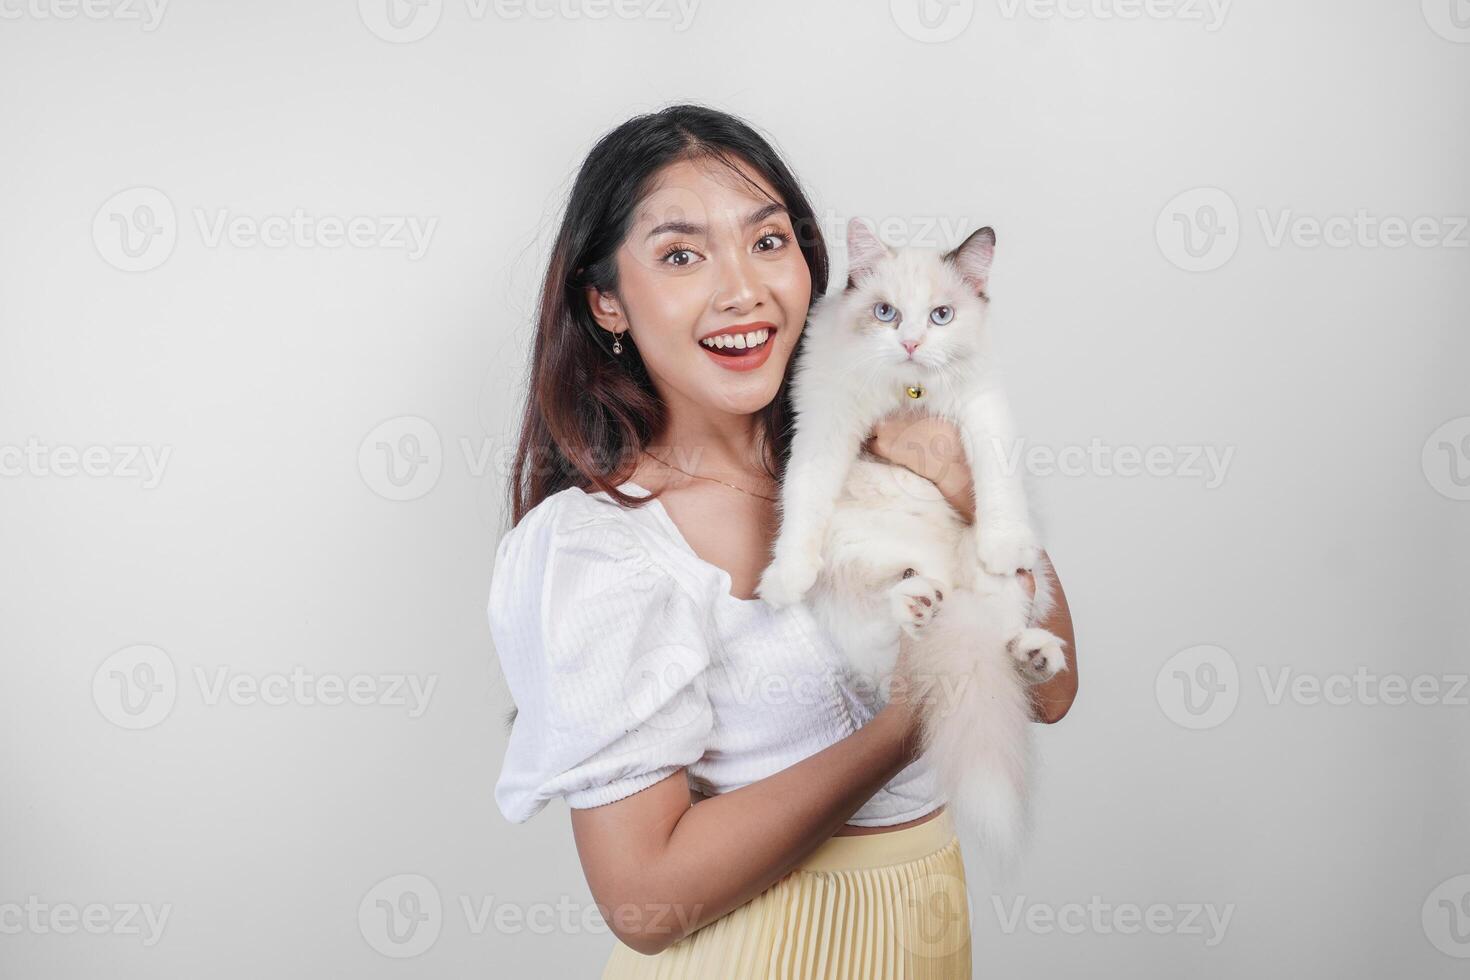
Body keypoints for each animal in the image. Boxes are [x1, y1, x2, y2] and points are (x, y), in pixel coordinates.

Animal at [758, 218, 1070, 863]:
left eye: (941, 316)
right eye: (885, 313)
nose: (909, 344)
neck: (909, 392)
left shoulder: (982, 411)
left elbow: (997, 483)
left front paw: (1004, 544)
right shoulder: (826, 423)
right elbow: (802, 500)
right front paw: (785, 575)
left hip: (1003, 596)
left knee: (1003, 639)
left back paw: (1032, 652)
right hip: (860, 571)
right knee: (889, 646)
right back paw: (917, 601)